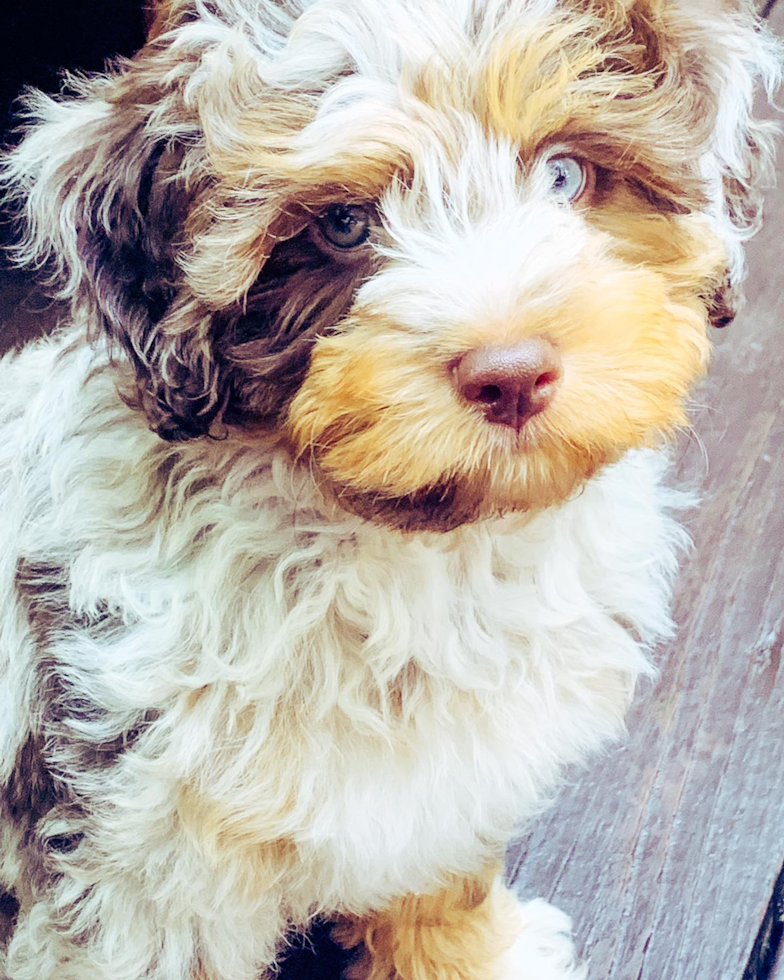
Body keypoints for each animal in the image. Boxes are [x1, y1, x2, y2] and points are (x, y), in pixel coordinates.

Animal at [0, 1, 776, 980]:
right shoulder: (137, 854)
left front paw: (474, 958)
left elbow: (439, 885)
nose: (511, 374)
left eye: (565, 173)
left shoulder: (441, 793)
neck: (424, 552)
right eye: (341, 226)